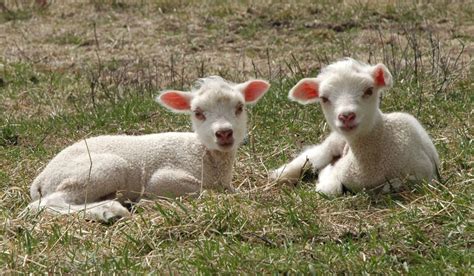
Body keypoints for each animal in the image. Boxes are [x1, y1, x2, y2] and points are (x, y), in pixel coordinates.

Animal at [26, 76, 270, 222]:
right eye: (198, 113)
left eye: (240, 107)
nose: (224, 133)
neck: (204, 154)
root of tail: (40, 179)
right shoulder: (161, 180)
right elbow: (200, 191)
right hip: (98, 169)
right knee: (43, 205)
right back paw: (109, 211)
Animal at [272, 58, 438, 196]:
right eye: (324, 98)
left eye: (369, 90)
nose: (346, 116)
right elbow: (330, 187)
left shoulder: (423, 174)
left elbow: (395, 184)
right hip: (334, 142)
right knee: (313, 156)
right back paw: (281, 174)